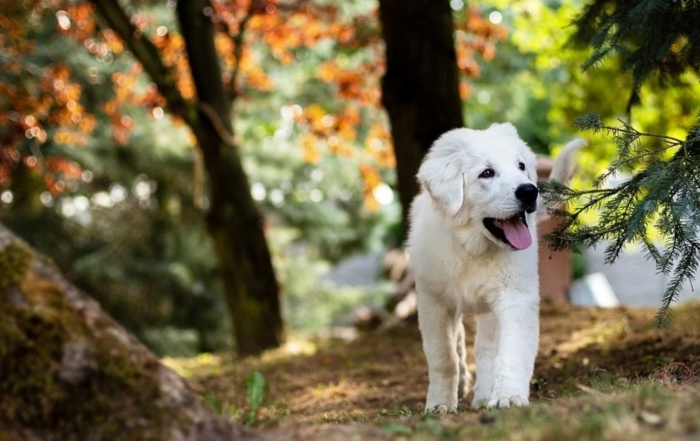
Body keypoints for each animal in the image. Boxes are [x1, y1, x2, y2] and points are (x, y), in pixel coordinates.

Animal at [408, 122, 584, 410]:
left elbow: (509, 351)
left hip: (490, 308)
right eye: (487, 173)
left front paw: (508, 396)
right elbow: (443, 356)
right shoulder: (433, 300)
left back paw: (482, 396)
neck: (473, 248)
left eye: (521, 166)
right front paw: (439, 404)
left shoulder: (515, 296)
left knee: (486, 348)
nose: (529, 191)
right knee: (459, 341)